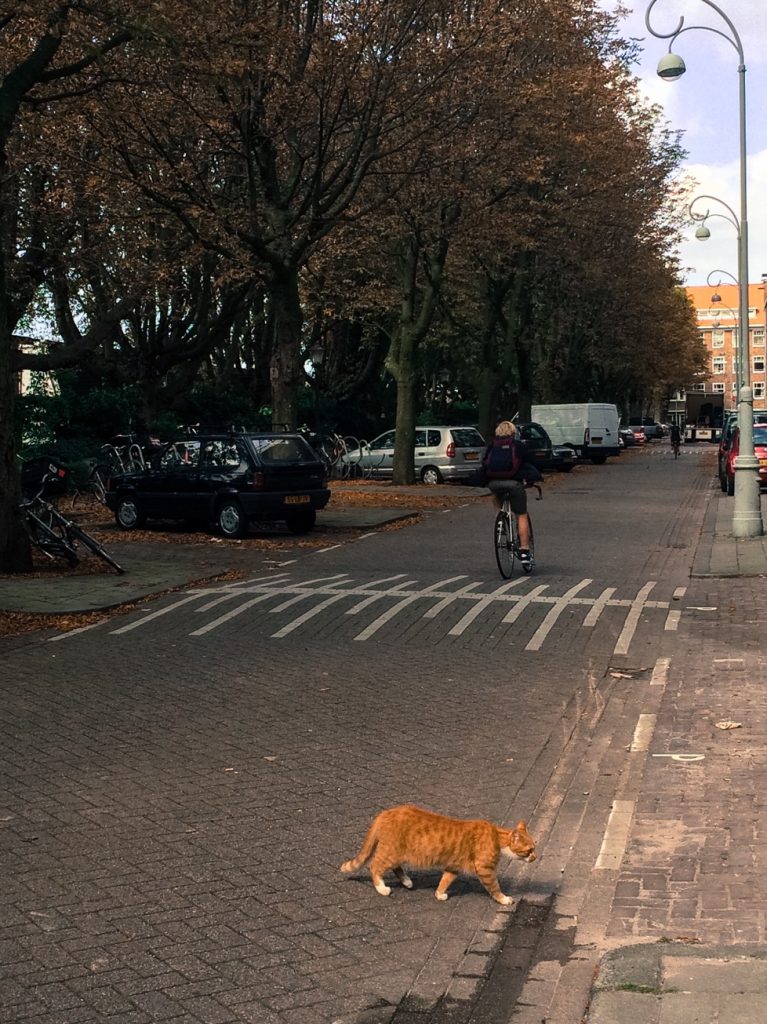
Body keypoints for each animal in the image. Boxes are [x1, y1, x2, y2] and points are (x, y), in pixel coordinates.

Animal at [337, 802, 536, 901]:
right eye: (530, 850)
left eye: (535, 847)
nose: (536, 857)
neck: (497, 836)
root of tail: (387, 812)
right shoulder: (485, 870)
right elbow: (495, 887)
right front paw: (504, 899)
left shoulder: (453, 866)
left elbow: (445, 880)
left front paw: (439, 894)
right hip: (392, 853)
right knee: (375, 866)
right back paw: (382, 888)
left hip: (397, 854)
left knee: (395, 867)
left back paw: (407, 881)